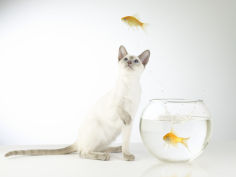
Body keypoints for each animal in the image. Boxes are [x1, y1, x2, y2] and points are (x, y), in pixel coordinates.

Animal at [5, 45, 149, 160]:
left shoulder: (129, 121)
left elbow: (126, 143)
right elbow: (121, 109)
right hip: (96, 128)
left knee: (96, 148)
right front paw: (126, 155)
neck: (130, 85)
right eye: (126, 59)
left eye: (135, 61)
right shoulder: (114, 107)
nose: (129, 62)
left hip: (108, 138)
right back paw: (104, 156)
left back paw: (116, 149)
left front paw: (126, 155)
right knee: (83, 152)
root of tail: (77, 140)